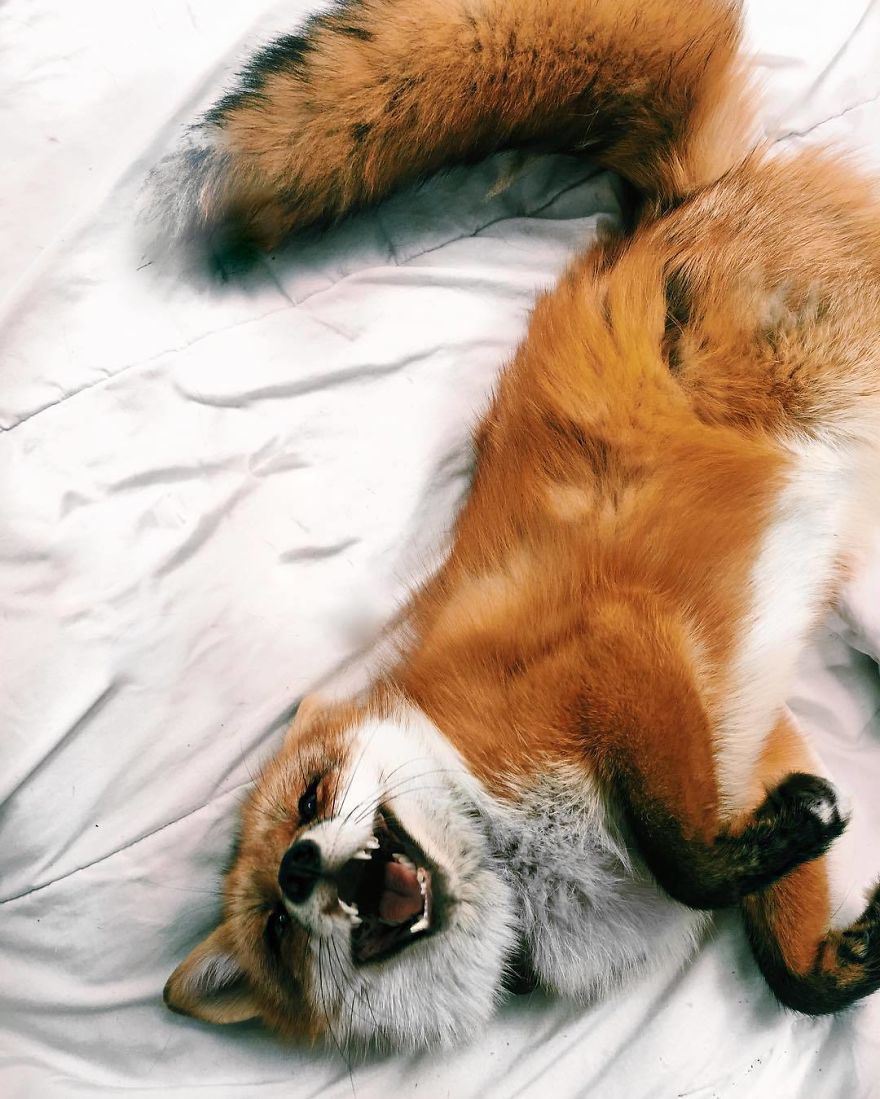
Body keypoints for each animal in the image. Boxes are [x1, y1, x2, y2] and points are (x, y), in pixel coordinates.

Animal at [158, 0, 880, 1050]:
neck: (514, 857)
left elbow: (682, 864)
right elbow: (791, 974)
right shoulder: (755, 742)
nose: (296, 868)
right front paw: (843, 952)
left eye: (310, 797)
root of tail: (671, 208)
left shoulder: (618, 646)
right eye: (277, 932)